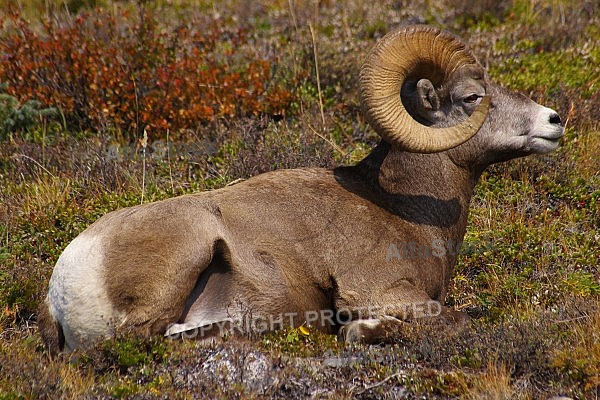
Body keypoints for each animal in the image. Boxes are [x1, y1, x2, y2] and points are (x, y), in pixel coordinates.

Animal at [37, 25, 564, 352]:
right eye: (473, 97)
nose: (553, 121)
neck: (402, 211)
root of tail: (65, 281)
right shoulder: (382, 291)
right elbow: (455, 319)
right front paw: (359, 331)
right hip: (185, 252)